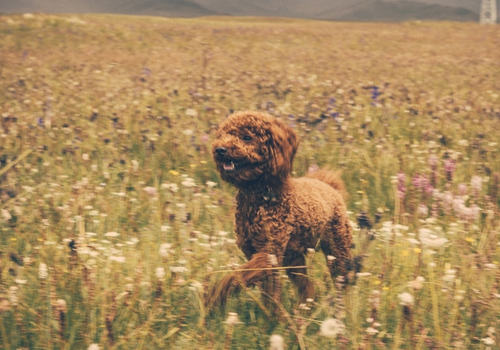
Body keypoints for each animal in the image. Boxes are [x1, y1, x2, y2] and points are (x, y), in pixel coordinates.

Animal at [209, 110, 354, 304]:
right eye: (224, 134)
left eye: (247, 137)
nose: (220, 150)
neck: (258, 194)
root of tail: (330, 186)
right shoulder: (254, 252)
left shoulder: (269, 253)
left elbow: (237, 278)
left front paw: (214, 295)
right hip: (294, 258)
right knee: (307, 287)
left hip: (338, 248)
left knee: (342, 281)